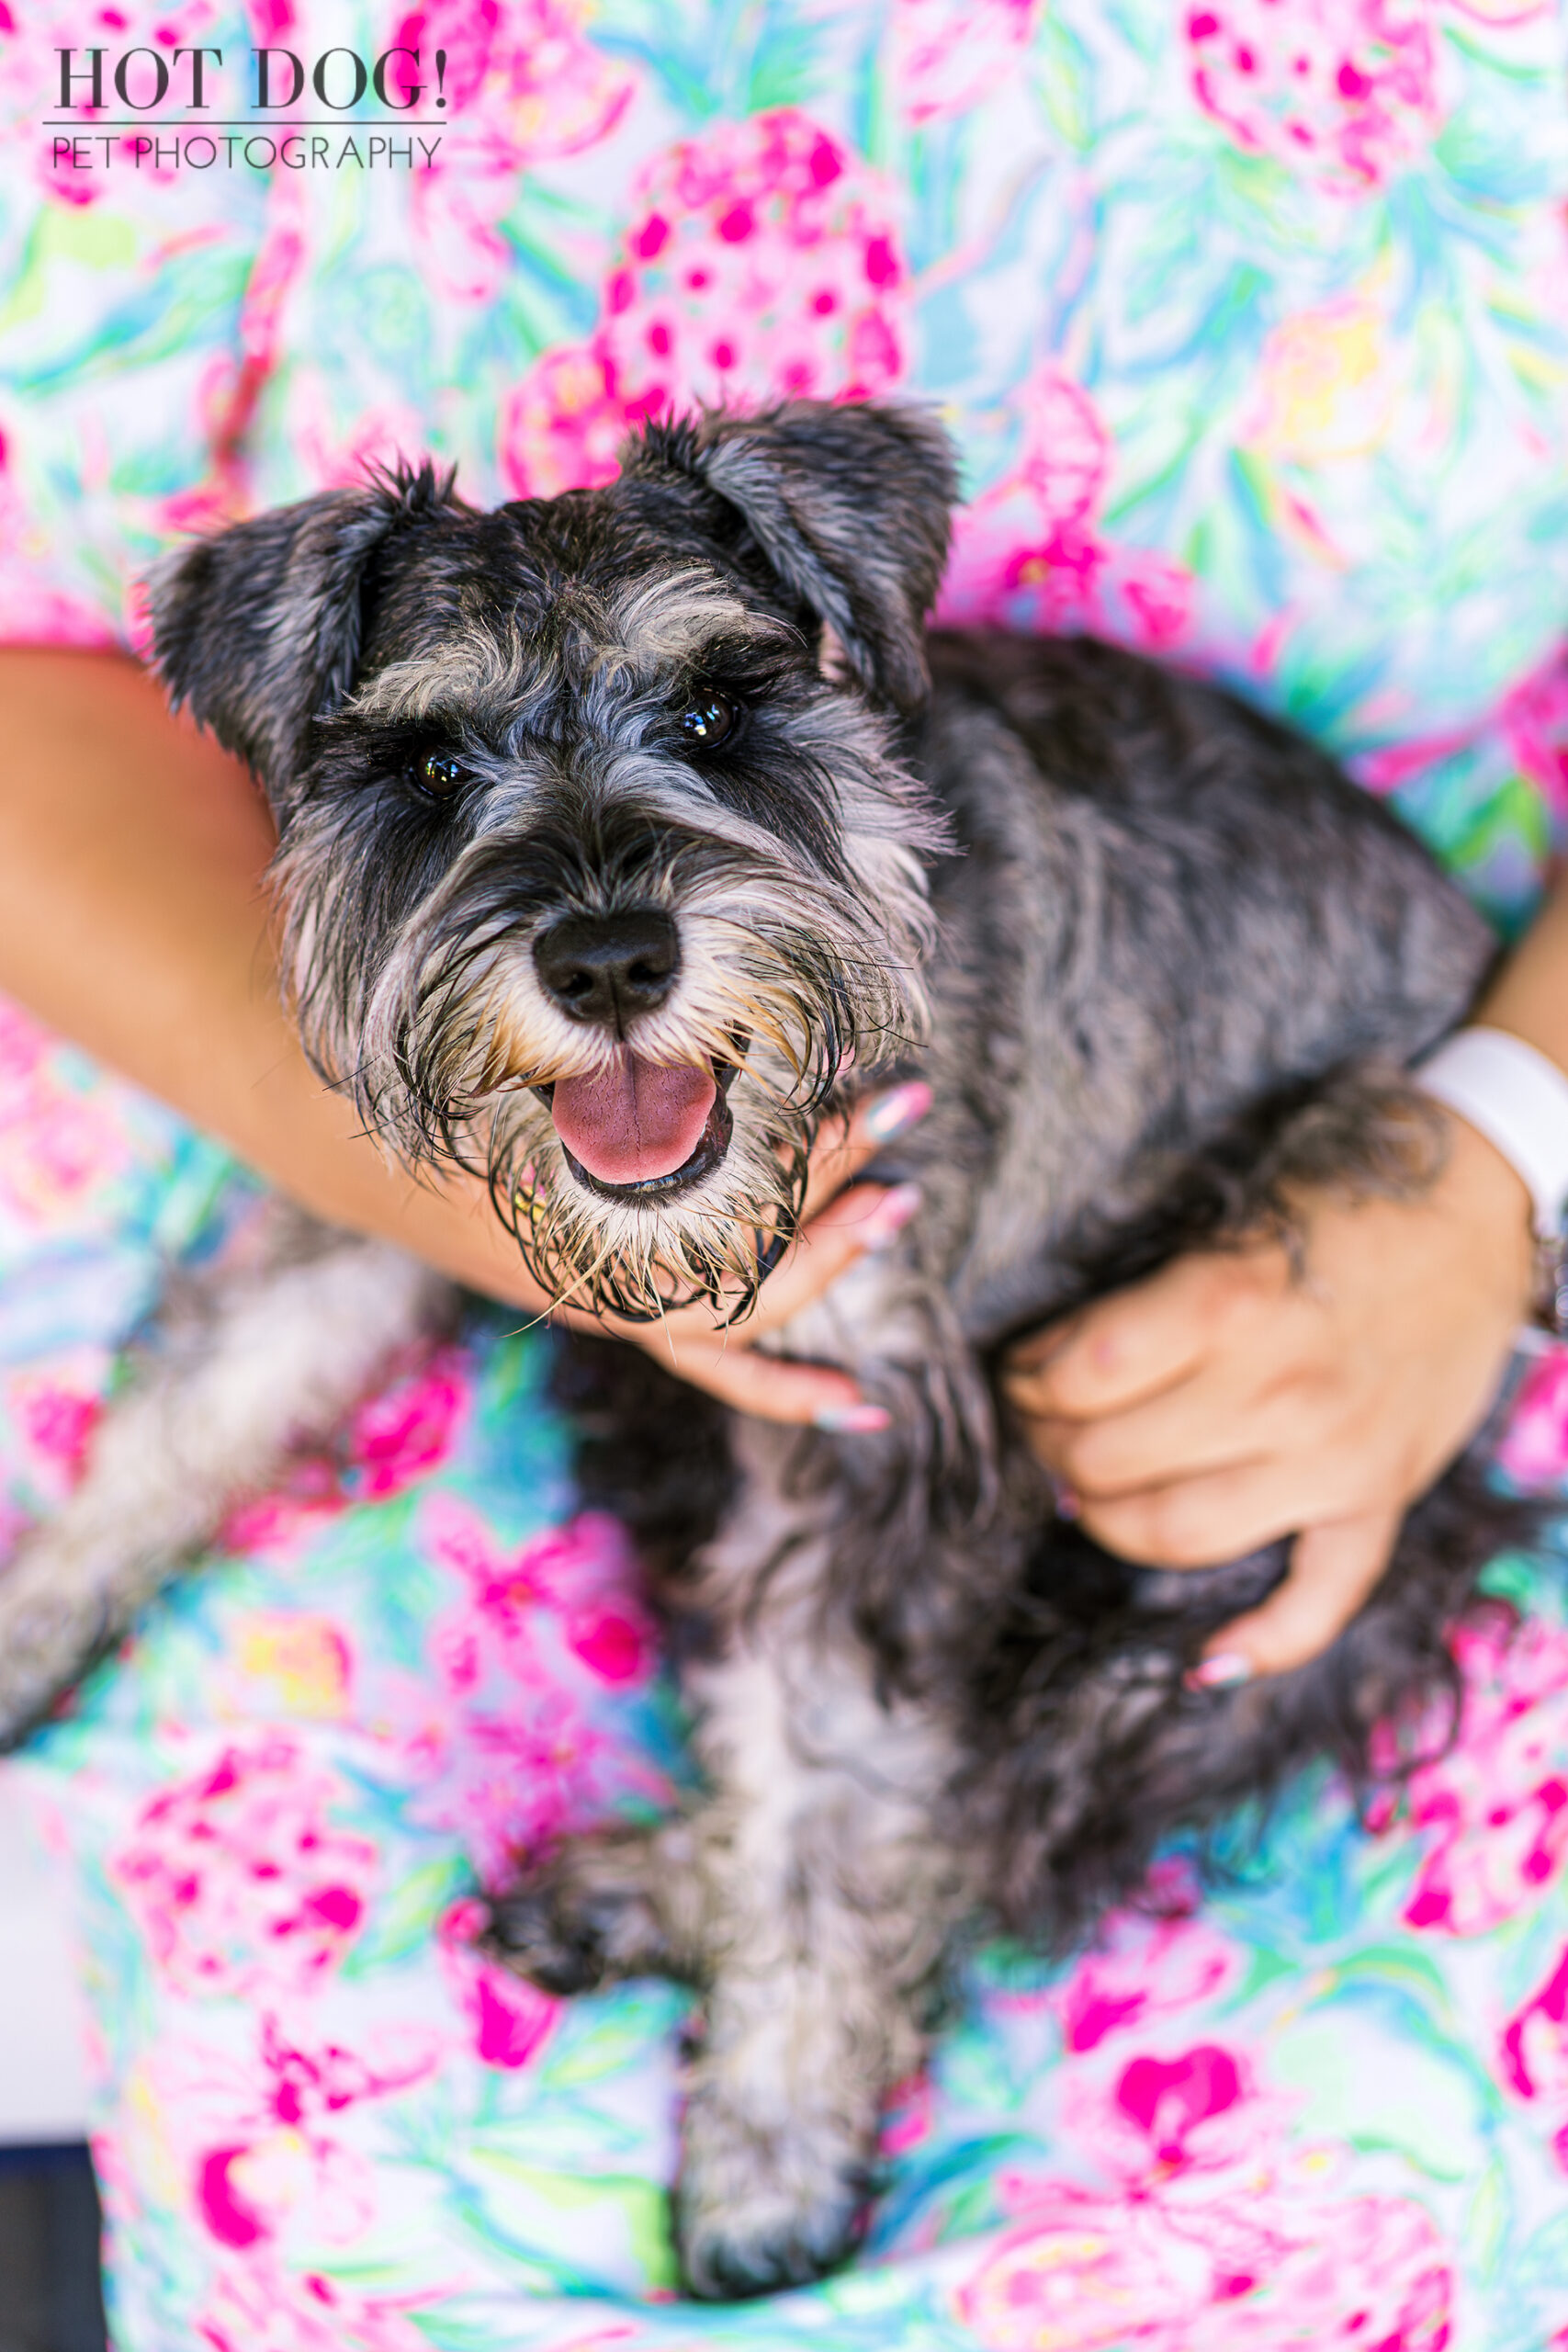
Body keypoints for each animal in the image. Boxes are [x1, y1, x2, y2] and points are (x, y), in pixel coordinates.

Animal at [0, 400, 1532, 2295]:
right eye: (427, 766)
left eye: (719, 713)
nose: (608, 958)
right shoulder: (366, 1216)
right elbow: (205, 1396)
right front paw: (27, 1624)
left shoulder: (877, 1473)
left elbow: (842, 1795)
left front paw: (769, 2161)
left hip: (1240, 1536)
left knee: (1001, 1815)